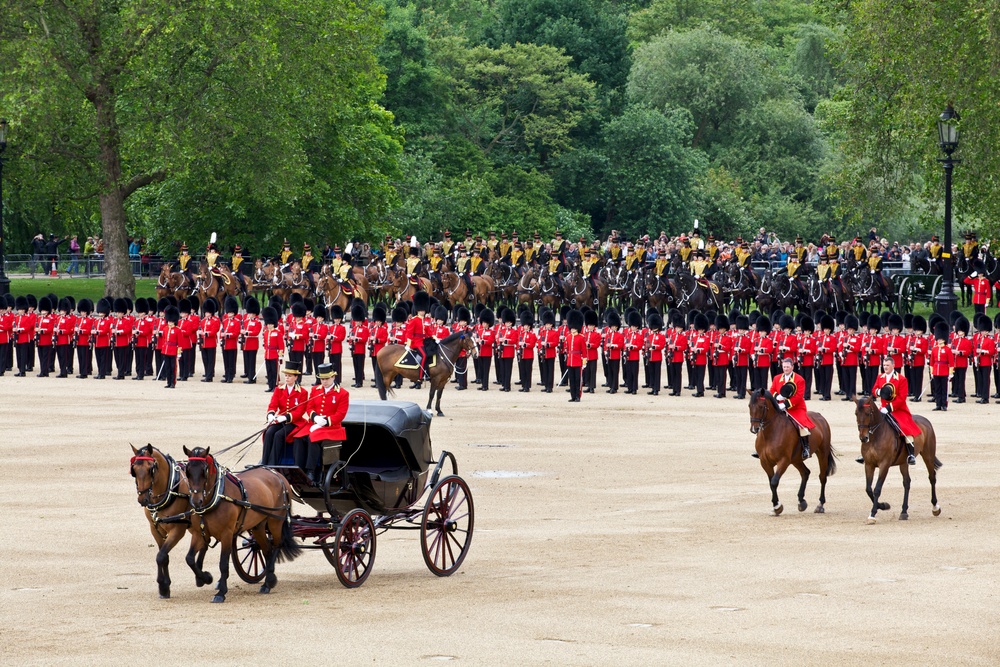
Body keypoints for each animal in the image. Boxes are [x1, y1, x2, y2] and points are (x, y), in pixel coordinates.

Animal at [131, 444, 213, 600]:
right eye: (134, 470)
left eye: (150, 469)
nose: (142, 499)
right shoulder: (155, 529)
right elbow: (164, 556)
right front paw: (165, 586)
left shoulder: (177, 530)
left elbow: (161, 556)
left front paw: (163, 585)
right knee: (204, 543)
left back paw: (202, 577)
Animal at [182, 446, 300, 604]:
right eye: (188, 471)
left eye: (204, 471)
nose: (196, 502)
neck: (217, 496)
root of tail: (277, 474)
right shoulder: (199, 534)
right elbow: (189, 559)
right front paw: (205, 577)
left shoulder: (227, 534)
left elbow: (223, 563)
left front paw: (221, 592)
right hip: (258, 527)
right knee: (266, 549)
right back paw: (268, 582)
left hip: (275, 521)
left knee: (277, 544)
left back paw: (269, 579)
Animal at [856, 394, 940, 524]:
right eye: (856, 413)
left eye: (868, 413)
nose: (863, 438)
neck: (876, 436)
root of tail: (926, 421)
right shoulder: (869, 464)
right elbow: (868, 489)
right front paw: (883, 505)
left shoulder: (884, 465)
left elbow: (877, 489)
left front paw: (873, 514)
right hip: (903, 462)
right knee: (907, 482)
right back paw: (904, 511)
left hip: (928, 455)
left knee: (932, 477)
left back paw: (935, 507)